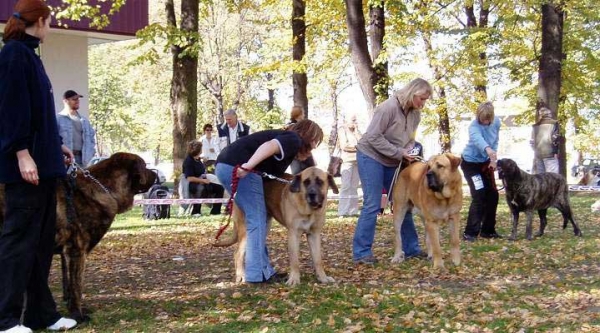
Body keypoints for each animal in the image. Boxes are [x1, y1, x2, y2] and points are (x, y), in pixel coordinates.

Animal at [0, 152, 155, 320]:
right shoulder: (76, 250)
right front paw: (77, 314)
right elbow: (76, 286)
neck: (105, 189)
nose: (156, 174)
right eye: (144, 166)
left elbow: (68, 284)